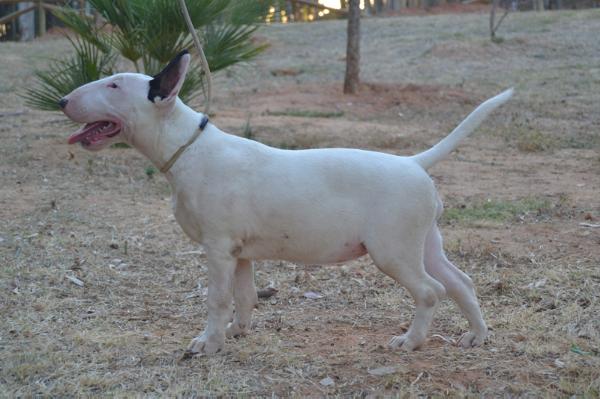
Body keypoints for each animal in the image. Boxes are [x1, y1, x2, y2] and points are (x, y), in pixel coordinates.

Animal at [59, 50, 510, 356]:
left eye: (114, 85)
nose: (62, 101)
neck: (189, 148)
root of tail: (413, 162)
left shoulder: (218, 249)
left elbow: (216, 298)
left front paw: (208, 343)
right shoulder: (239, 253)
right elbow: (244, 296)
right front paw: (236, 333)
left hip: (392, 250)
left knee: (432, 291)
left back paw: (411, 341)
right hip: (424, 243)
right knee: (461, 282)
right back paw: (477, 336)